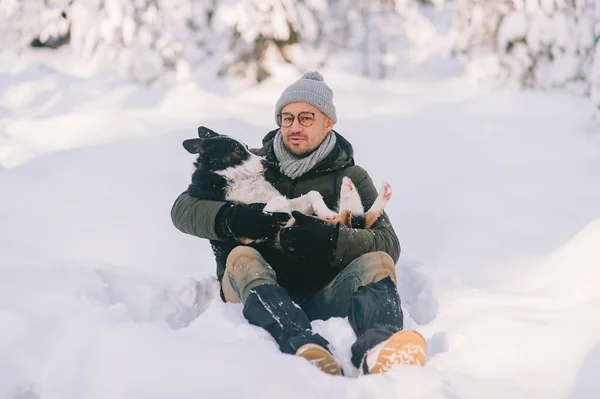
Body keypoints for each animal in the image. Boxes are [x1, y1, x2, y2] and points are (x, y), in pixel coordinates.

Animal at [180, 125, 392, 239]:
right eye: (237, 151)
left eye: (247, 147)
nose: (266, 162)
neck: (237, 179)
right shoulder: (257, 229)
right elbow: (266, 208)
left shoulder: (293, 208)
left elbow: (313, 195)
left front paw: (325, 210)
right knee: (349, 218)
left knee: (352, 218)